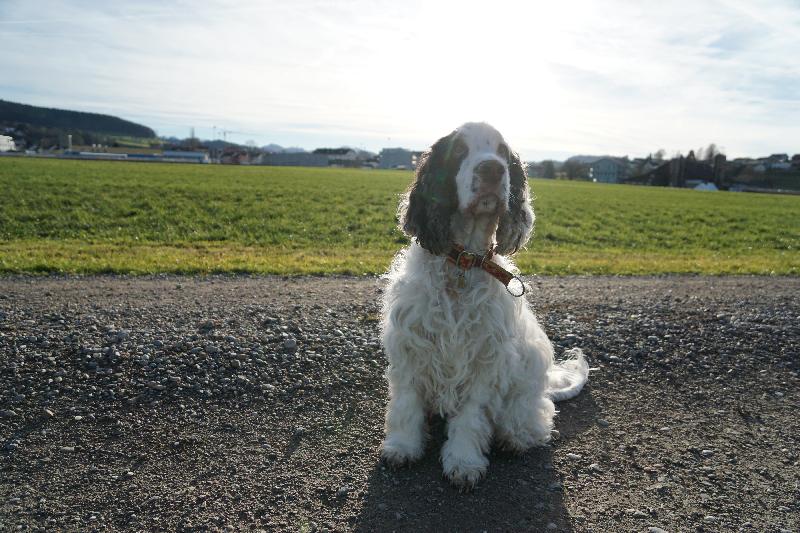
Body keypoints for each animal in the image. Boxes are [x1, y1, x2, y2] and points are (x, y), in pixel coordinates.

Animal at [379, 122, 589, 488]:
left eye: (503, 152)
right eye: (460, 150)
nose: (492, 168)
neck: (463, 264)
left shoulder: (484, 360)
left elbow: (471, 417)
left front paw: (463, 461)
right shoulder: (411, 347)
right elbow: (406, 404)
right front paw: (402, 447)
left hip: (526, 393)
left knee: (537, 419)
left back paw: (515, 439)